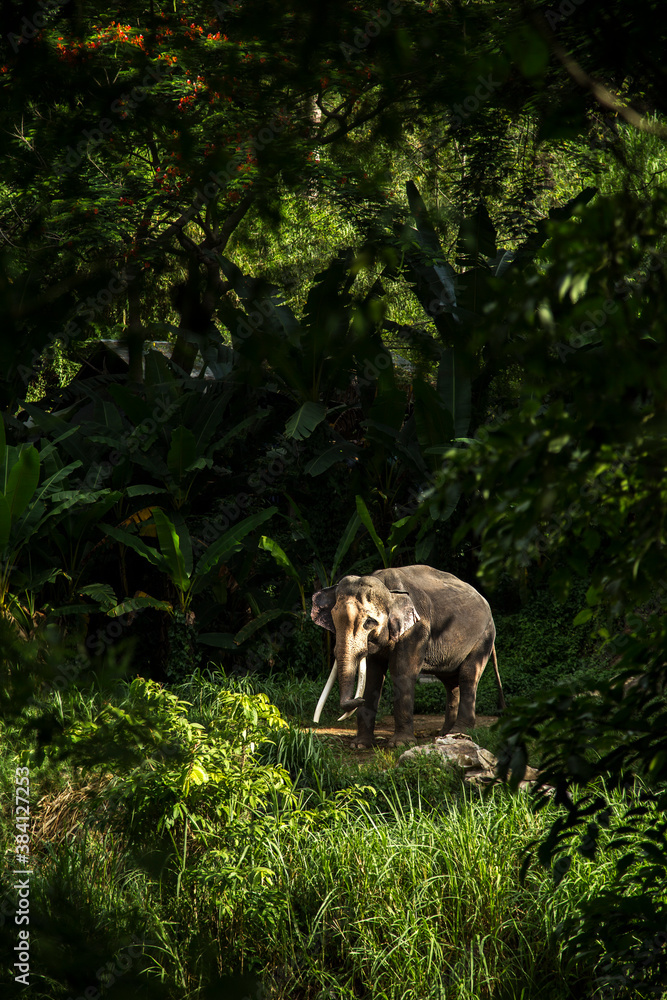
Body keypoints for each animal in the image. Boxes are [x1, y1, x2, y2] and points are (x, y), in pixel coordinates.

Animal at [311, 565, 505, 748]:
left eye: (369, 622)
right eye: (334, 620)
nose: (357, 699)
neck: (389, 590)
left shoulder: (416, 631)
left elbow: (402, 672)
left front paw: (401, 744)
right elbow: (373, 676)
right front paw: (359, 745)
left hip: (484, 637)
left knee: (468, 676)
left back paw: (460, 733)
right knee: (450, 682)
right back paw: (446, 734)